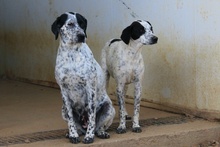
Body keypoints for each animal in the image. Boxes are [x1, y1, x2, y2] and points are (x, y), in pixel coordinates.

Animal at [51, 12, 115, 144]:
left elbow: (91, 118)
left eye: (82, 24)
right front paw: (73, 135)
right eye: (70, 24)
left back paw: (100, 133)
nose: (81, 36)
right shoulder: (63, 91)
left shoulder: (90, 89)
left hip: (109, 108)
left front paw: (89, 137)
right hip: (63, 109)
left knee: (98, 126)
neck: (72, 54)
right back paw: (74, 133)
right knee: (79, 127)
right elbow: (71, 120)